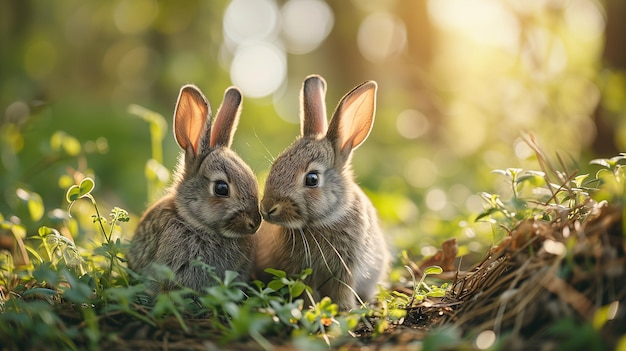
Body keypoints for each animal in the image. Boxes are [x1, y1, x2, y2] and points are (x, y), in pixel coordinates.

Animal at [254, 75, 390, 310]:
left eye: (312, 179)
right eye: (275, 166)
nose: (267, 208)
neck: (323, 222)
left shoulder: (345, 268)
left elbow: (342, 290)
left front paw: (345, 309)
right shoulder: (300, 269)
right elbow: (305, 290)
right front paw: (309, 308)